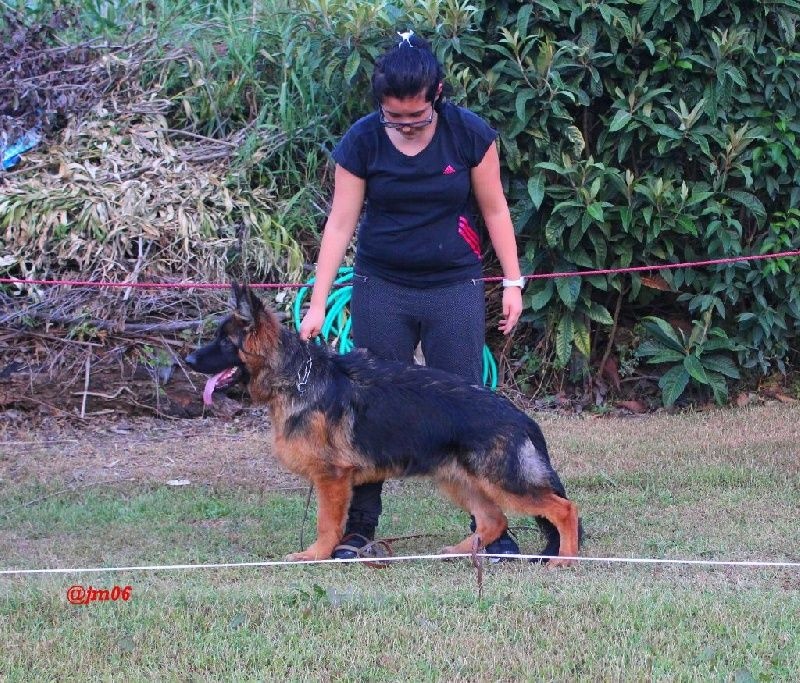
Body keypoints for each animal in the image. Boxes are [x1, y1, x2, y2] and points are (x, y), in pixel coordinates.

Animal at [184, 284, 580, 568]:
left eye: (224, 342)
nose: (187, 360)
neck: (295, 376)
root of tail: (520, 416)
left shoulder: (331, 478)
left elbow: (326, 523)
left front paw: (315, 556)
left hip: (501, 481)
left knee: (564, 508)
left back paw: (566, 559)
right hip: (458, 479)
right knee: (493, 519)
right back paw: (460, 551)